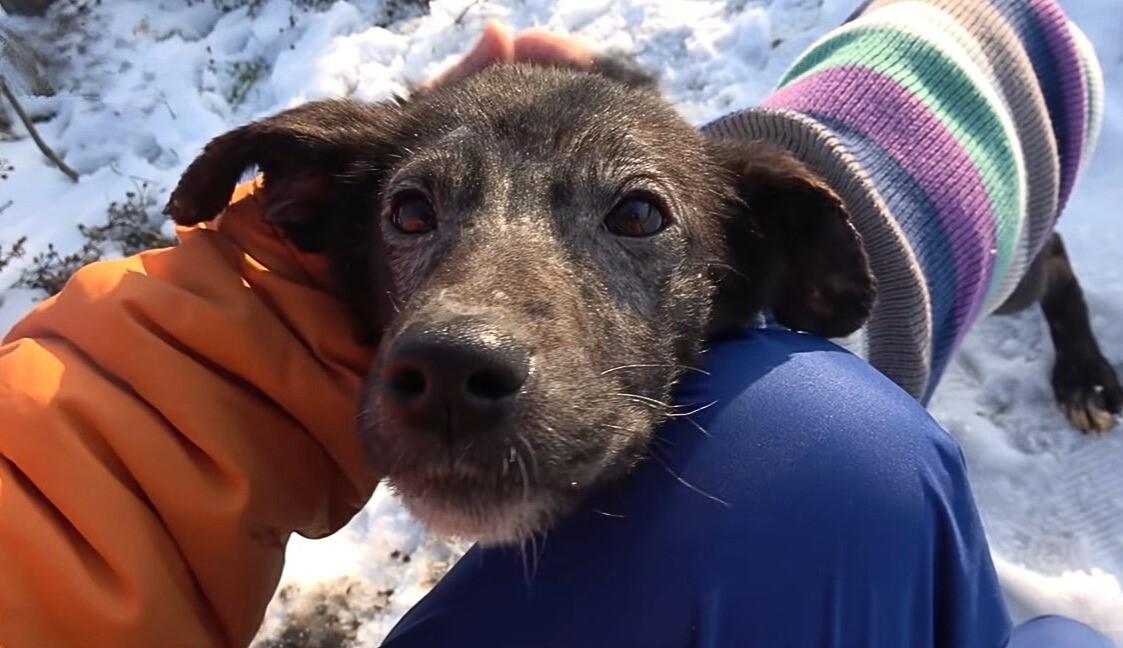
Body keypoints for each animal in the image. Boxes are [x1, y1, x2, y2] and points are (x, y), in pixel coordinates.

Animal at [162, 40, 1118, 543]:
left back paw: (1084, 375)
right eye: (407, 211)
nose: (447, 376)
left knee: (1057, 259)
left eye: (638, 214)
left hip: (1016, 267)